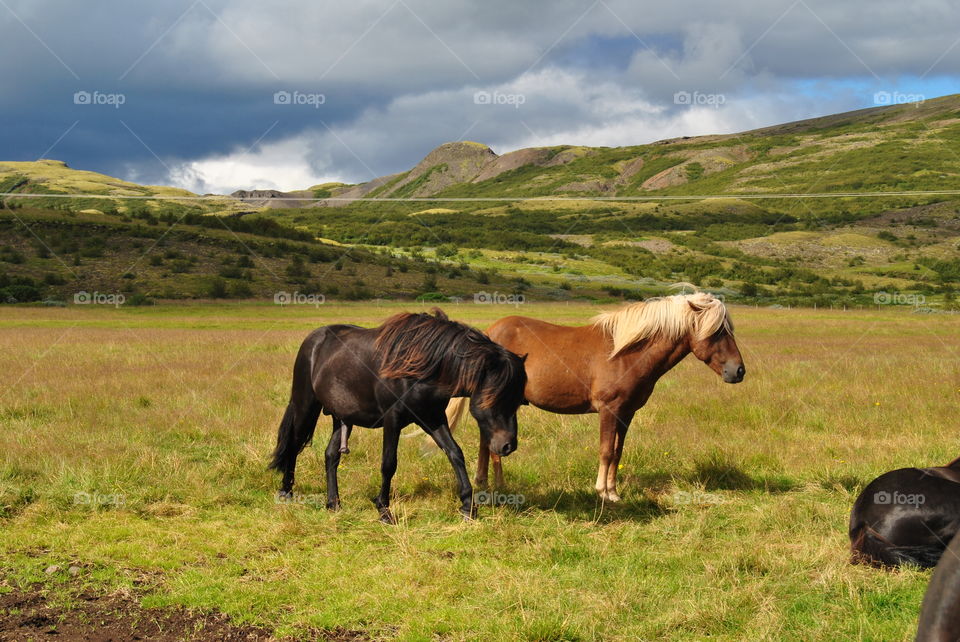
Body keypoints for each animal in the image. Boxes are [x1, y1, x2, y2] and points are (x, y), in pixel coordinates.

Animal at [269, 309, 527, 523]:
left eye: (517, 401)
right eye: (497, 398)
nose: (508, 446)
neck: (421, 367)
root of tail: (314, 340)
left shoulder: (433, 418)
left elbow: (455, 454)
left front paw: (468, 507)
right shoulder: (392, 420)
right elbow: (388, 464)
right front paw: (384, 510)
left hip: (342, 418)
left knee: (331, 455)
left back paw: (333, 503)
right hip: (305, 405)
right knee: (293, 444)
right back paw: (287, 492)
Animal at [447, 290, 745, 501]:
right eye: (717, 331)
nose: (738, 371)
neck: (626, 354)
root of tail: (488, 333)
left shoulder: (626, 413)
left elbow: (617, 452)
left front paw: (613, 491)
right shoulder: (609, 411)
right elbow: (605, 450)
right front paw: (602, 491)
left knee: (486, 440)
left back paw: (483, 481)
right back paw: (500, 485)